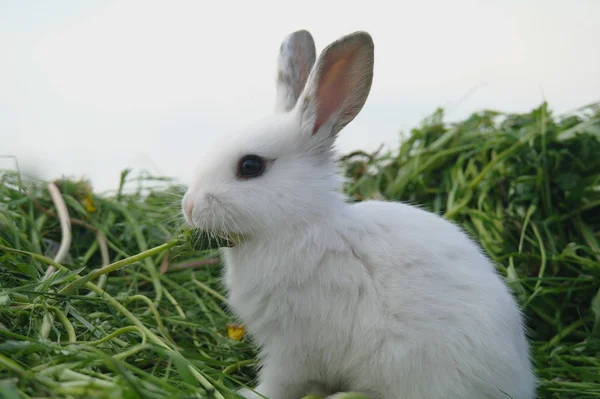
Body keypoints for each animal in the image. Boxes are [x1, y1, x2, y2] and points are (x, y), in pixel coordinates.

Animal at [182, 29, 536, 398]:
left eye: (251, 166)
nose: (189, 207)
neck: (300, 225)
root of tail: (518, 385)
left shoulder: (292, 347)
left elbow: (280, 382)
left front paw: (250, 394)